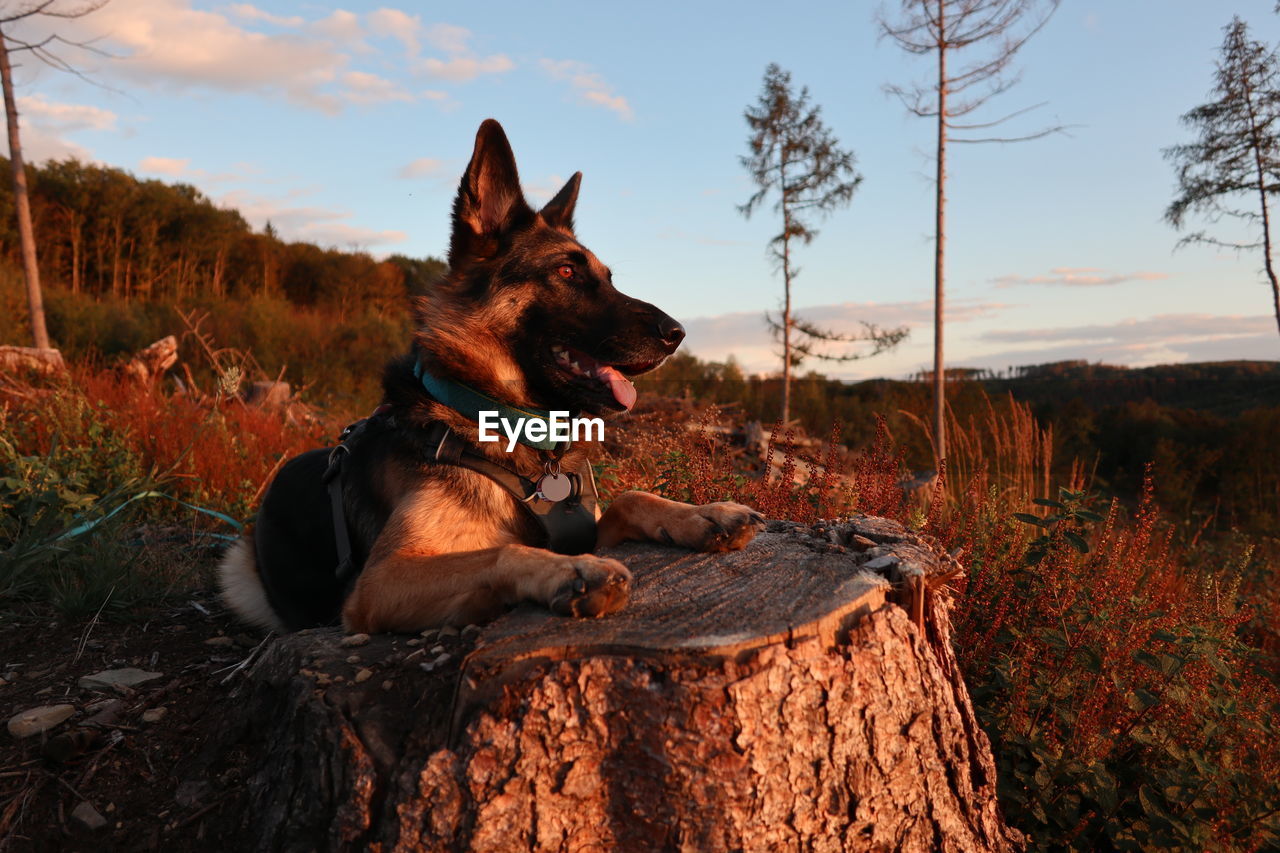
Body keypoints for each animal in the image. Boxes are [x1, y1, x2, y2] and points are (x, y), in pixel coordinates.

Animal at [215, 119, 762, 630]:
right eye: (566, 272)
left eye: (608, 278)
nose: (677, 333)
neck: (500, 419)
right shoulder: (382, 582)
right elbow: (500, 551)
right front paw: (574, 571)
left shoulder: (582, 523)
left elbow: (629, 497)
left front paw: (702, 514)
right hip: (237, 572)